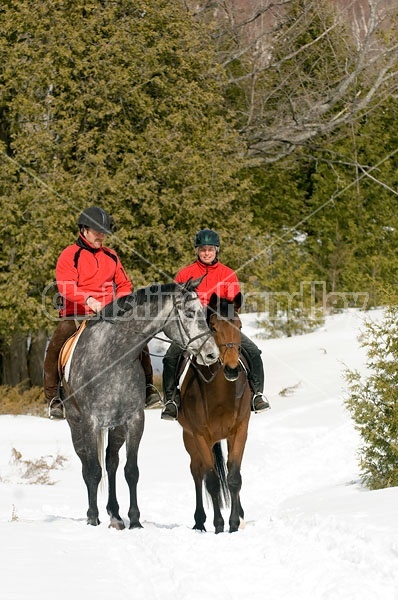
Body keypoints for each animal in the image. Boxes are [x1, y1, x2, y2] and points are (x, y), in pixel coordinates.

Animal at [61, 278, 219, 528]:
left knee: (111, 462)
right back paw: (94, 513)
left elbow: (131, 470)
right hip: (75, 425)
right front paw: (93, 518)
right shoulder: (90, 422)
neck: (113, 358)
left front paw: (135, 520)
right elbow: (93, 471)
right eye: (189, 313)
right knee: (88, 466)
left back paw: (115, 515)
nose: (212, 354)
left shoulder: (134, 420)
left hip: (116, 427)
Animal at [178, 292, 250, 532]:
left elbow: (233, 477)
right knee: (197, 472)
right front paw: (219, 525)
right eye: (213, 328)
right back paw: (199, 521)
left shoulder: (240, 430)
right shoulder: (200, 435)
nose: (232, 369)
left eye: (239, 325)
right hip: (189, 438)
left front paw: (234, 523)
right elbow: (211, 481)